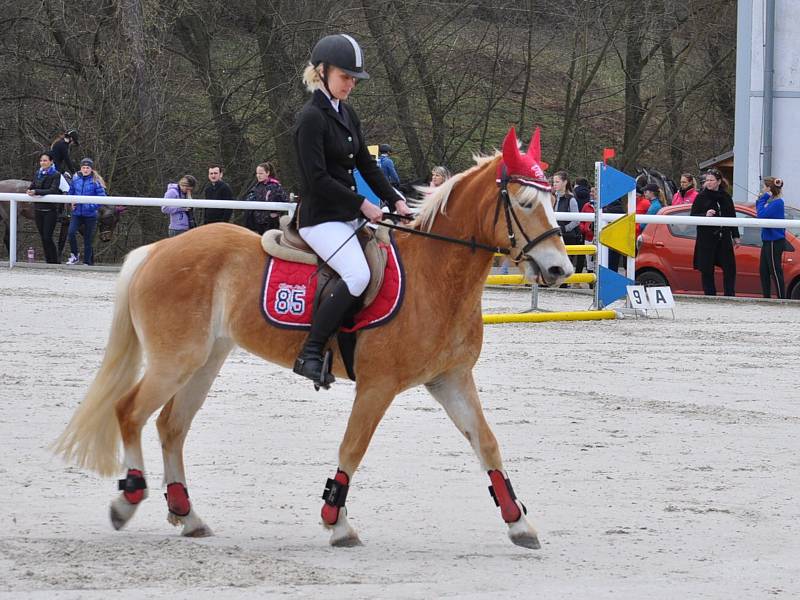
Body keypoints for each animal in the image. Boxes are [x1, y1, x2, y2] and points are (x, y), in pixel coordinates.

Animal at [53, 126, 572, 548]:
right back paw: (128, 499)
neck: (436, 275)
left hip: (205, 361)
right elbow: (352, 447)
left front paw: (518, 521)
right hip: (174, 360)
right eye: (526, 204)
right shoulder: (377, 386)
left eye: (554, 203)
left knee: (171, 426)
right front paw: (336, 521)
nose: (559, 270)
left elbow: (487, 443)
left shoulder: (451, 380)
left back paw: (187, 514)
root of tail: (159, 249)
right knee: (130, 412)